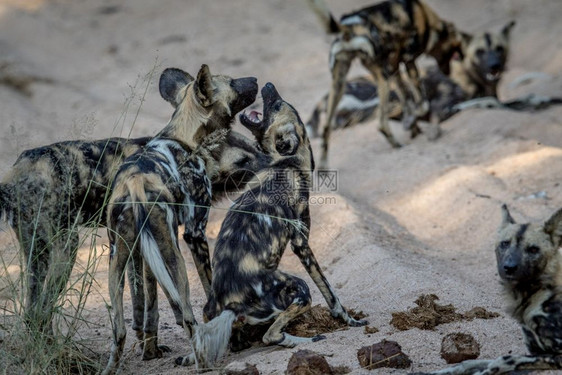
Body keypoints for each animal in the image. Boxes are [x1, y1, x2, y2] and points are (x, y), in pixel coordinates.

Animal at [100, 65, 258, 375]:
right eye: (232, 82)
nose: (256, 79)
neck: (184, 136)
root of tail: (135, 183)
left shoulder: (145, 255)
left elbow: (151, 306)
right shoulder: (195, 234)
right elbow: (210, 293)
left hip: (119, 257)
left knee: (120, 330)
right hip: (174, 254)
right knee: (187, 315)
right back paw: (202, 362)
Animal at [183, 83, 368, 370]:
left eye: (278, 104)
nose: (268, 85)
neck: (287, 164)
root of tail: (231, 306)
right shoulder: (302, 245)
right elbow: (330, 293)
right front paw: (348, 319)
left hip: (210, 306)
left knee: (204, 332)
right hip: (299, 289)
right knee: (271, 335)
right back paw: (306, 340)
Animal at [304, 20, 516, 138]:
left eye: (500, 48)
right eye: (480, 52)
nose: (494, 66)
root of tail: (323, 100)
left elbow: (504, 102)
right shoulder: (441, 110)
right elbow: (483, 102)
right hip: (389, 98)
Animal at [306, 0, 460, 167]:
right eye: (454, 52)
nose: (447, 73)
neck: (424, 16)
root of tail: (349, 28)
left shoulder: (395, 68)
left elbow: (407, 102)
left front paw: (414, 129)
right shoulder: (408, 61)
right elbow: (422, 105)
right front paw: (411, 124)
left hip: (339, 84)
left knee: (326, 129)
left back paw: (322, 167)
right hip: (383, 78)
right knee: (381, 123)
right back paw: (397, 145)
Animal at [420, 207, 562, 374]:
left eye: (533, 249)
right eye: (505, 243)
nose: (509, 267)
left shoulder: (555, 355)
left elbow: (502, 360)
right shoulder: (535, 352)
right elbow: (467, 363)